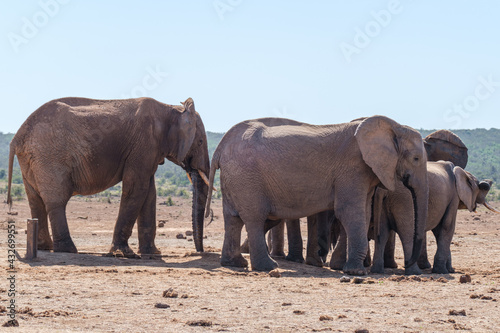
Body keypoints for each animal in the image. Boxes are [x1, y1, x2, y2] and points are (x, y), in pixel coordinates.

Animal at [8, 96, 211, 254]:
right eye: (200, 142)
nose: (200, 252)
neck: (171, 108)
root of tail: (17, 137)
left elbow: (149, 193)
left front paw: (152, 254)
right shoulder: (144, 144)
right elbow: (137, 189)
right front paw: (125, 254)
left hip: (31, 159)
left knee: (35, 200)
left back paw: (44, 247)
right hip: (49, 156)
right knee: (56, 201)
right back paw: (68, 250)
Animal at [205, 115, 428, 274]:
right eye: (416, 158)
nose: (408, 265)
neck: (394, 126)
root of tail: (220, 147)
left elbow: (363, 211)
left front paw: (348, 269)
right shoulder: (353, 168)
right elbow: (349, 212)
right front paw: (357, 272)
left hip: (235, 177)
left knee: (232, 219)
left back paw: (235, 263)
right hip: (247, 178)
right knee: (254, 218)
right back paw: (268, 267)